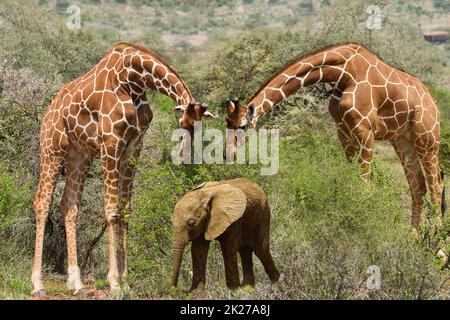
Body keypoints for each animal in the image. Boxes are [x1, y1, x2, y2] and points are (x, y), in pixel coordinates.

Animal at [32, 41, 214, 296]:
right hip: (52, 149)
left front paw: (126, 279)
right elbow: (112, 210)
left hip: (79, 156)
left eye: (199, 126)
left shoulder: (133, 147)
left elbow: (125, 211)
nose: (186, 156)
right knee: (42, 202)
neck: (134, 80)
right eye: (183, 124)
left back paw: (76, 283)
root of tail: (48, 110)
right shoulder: (111, 143)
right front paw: (114, 282)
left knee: (69, 205)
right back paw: (37, 284)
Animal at [225, 42, 446, 232]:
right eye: (227, 123)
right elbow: (351, 179)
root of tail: (434, 102)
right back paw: (413, 237)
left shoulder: (365, 130)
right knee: (418, 186)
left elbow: (365, 183)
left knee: (436, 184)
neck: (343, 73)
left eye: (243, 126)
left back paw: (437, 243)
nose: (228, 154)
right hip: (402, 139)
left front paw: (365, 224)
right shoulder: (343, 131)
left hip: (427, 137)